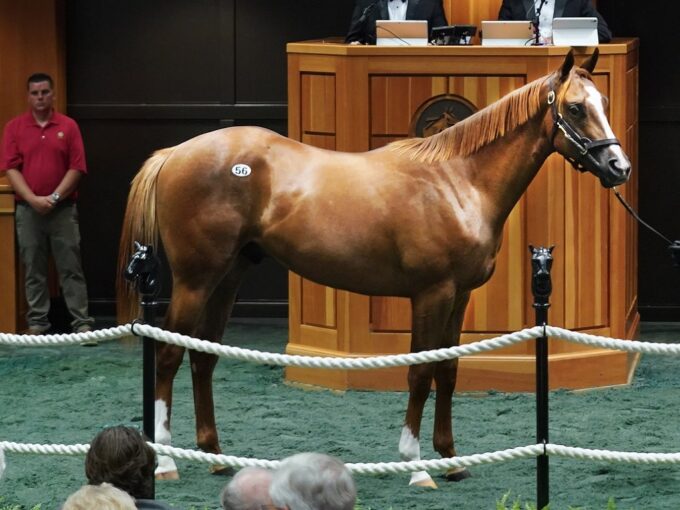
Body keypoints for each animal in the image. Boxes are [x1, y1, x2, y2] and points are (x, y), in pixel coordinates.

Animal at [118, 49, 632, 488]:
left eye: (604, 102)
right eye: (576, 108)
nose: (618, 166)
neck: (458, 182)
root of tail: (174, 154)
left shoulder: (459, 296)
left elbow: (448, 370)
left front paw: (452, 461)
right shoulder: (431, 293)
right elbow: (420, 372)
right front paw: (416, 465)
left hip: (228, 277)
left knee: (203, 356)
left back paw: (217, 458)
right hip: (195, 280)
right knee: (169, 354)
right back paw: (166, 462)